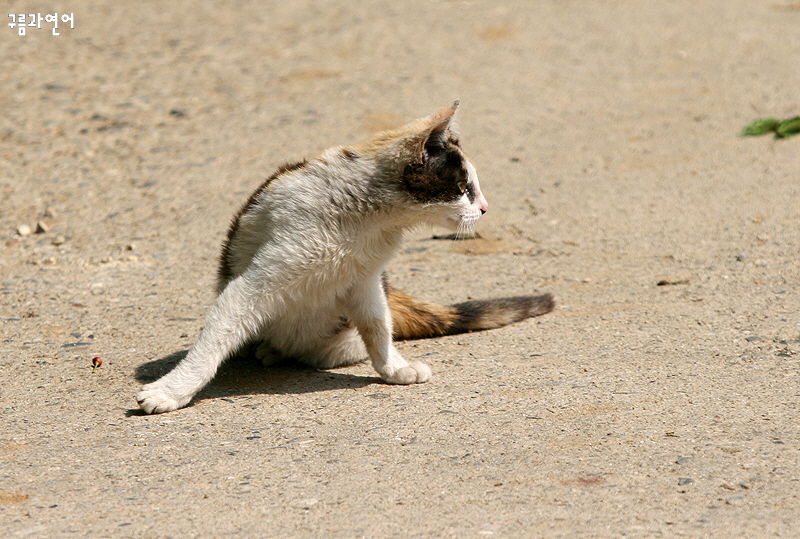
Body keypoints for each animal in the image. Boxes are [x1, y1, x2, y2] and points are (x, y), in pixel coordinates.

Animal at [138, 101, 552, 414]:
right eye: (465, 188)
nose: (484, 208)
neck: (367, 219)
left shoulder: (366, 280)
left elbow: (377, 326)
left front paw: (393, 368)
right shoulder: (252, 286)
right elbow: (214, 340)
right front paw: (173, 390)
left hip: (341, 339)